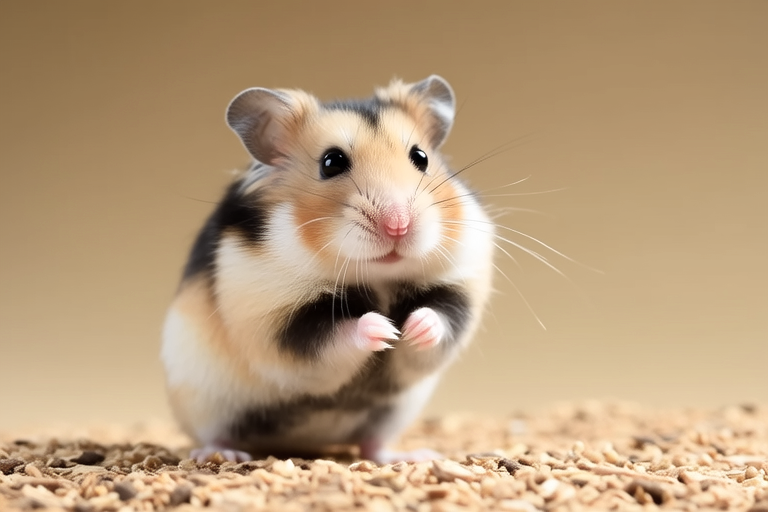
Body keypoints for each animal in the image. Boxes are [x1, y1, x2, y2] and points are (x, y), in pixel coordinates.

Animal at [161, 75, 495, 464]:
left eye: (421, 157)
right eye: (331, 162)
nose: (398, 226)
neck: (377, 277)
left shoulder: (459, 292)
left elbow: (440, 321)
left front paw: (411, 327)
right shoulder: (281, 325)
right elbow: (336, 336)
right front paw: (384, 328)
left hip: (392, 413)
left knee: (372, 442)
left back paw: (411, 456)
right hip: (204, 403)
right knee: (216, 434)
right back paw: (222, 454)